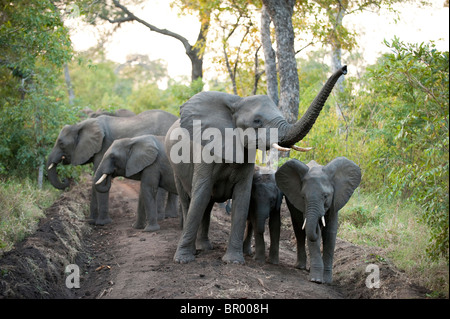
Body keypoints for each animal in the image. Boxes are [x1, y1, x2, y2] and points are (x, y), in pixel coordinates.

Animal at [46, 110, 178, 225]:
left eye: (61, 143)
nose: (65, 180)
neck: (80, 125)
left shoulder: (103, 147)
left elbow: (97, 178)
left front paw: (102, 223)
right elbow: (96, 180)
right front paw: (91, 222)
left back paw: (160, 217)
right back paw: (170, 216)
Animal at [166, 65, 348, 264]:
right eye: (257, 121)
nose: (344, 69)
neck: (237, 102)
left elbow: (242, 197)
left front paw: (234, 261)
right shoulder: (206, 151)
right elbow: (201, 194)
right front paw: (183, 260)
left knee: (207, 205)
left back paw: (205, 247)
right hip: (175, 167)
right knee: (189, 200)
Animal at [274, 156, 362, 284]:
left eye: (325, 196)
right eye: (303, 197)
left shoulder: (335, 201)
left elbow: (330, 233)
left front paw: (327, 281)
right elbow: (314, 233)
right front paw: (316, 280)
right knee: (299, 230)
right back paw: (300, 266)